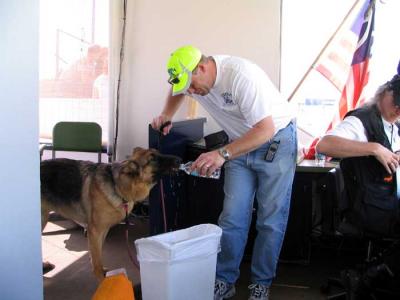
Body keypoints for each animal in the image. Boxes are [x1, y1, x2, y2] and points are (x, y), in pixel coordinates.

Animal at [39, 146, 180, 280]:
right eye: (152, 158)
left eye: (158, 153)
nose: (179, 160)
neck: (118, 186)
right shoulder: (94, 231)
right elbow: (96, 258)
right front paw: (100, 277)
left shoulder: (103, 230)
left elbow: (98, 253)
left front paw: (101, 270)